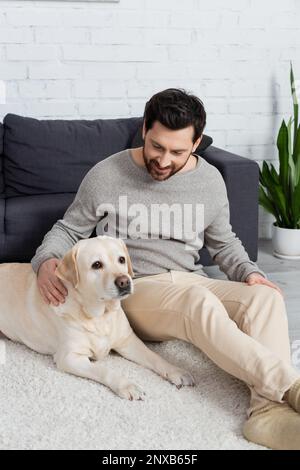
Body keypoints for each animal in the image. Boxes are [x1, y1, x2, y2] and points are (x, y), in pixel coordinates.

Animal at [0, 235, 195, 400]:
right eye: (96, 265)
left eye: (121, 259)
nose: (124, 281)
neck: (101, 316)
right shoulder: (70, 357)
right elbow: (103, 370)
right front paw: (127, 385)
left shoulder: (128, 342)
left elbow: (155, 357)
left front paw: (176, 371)